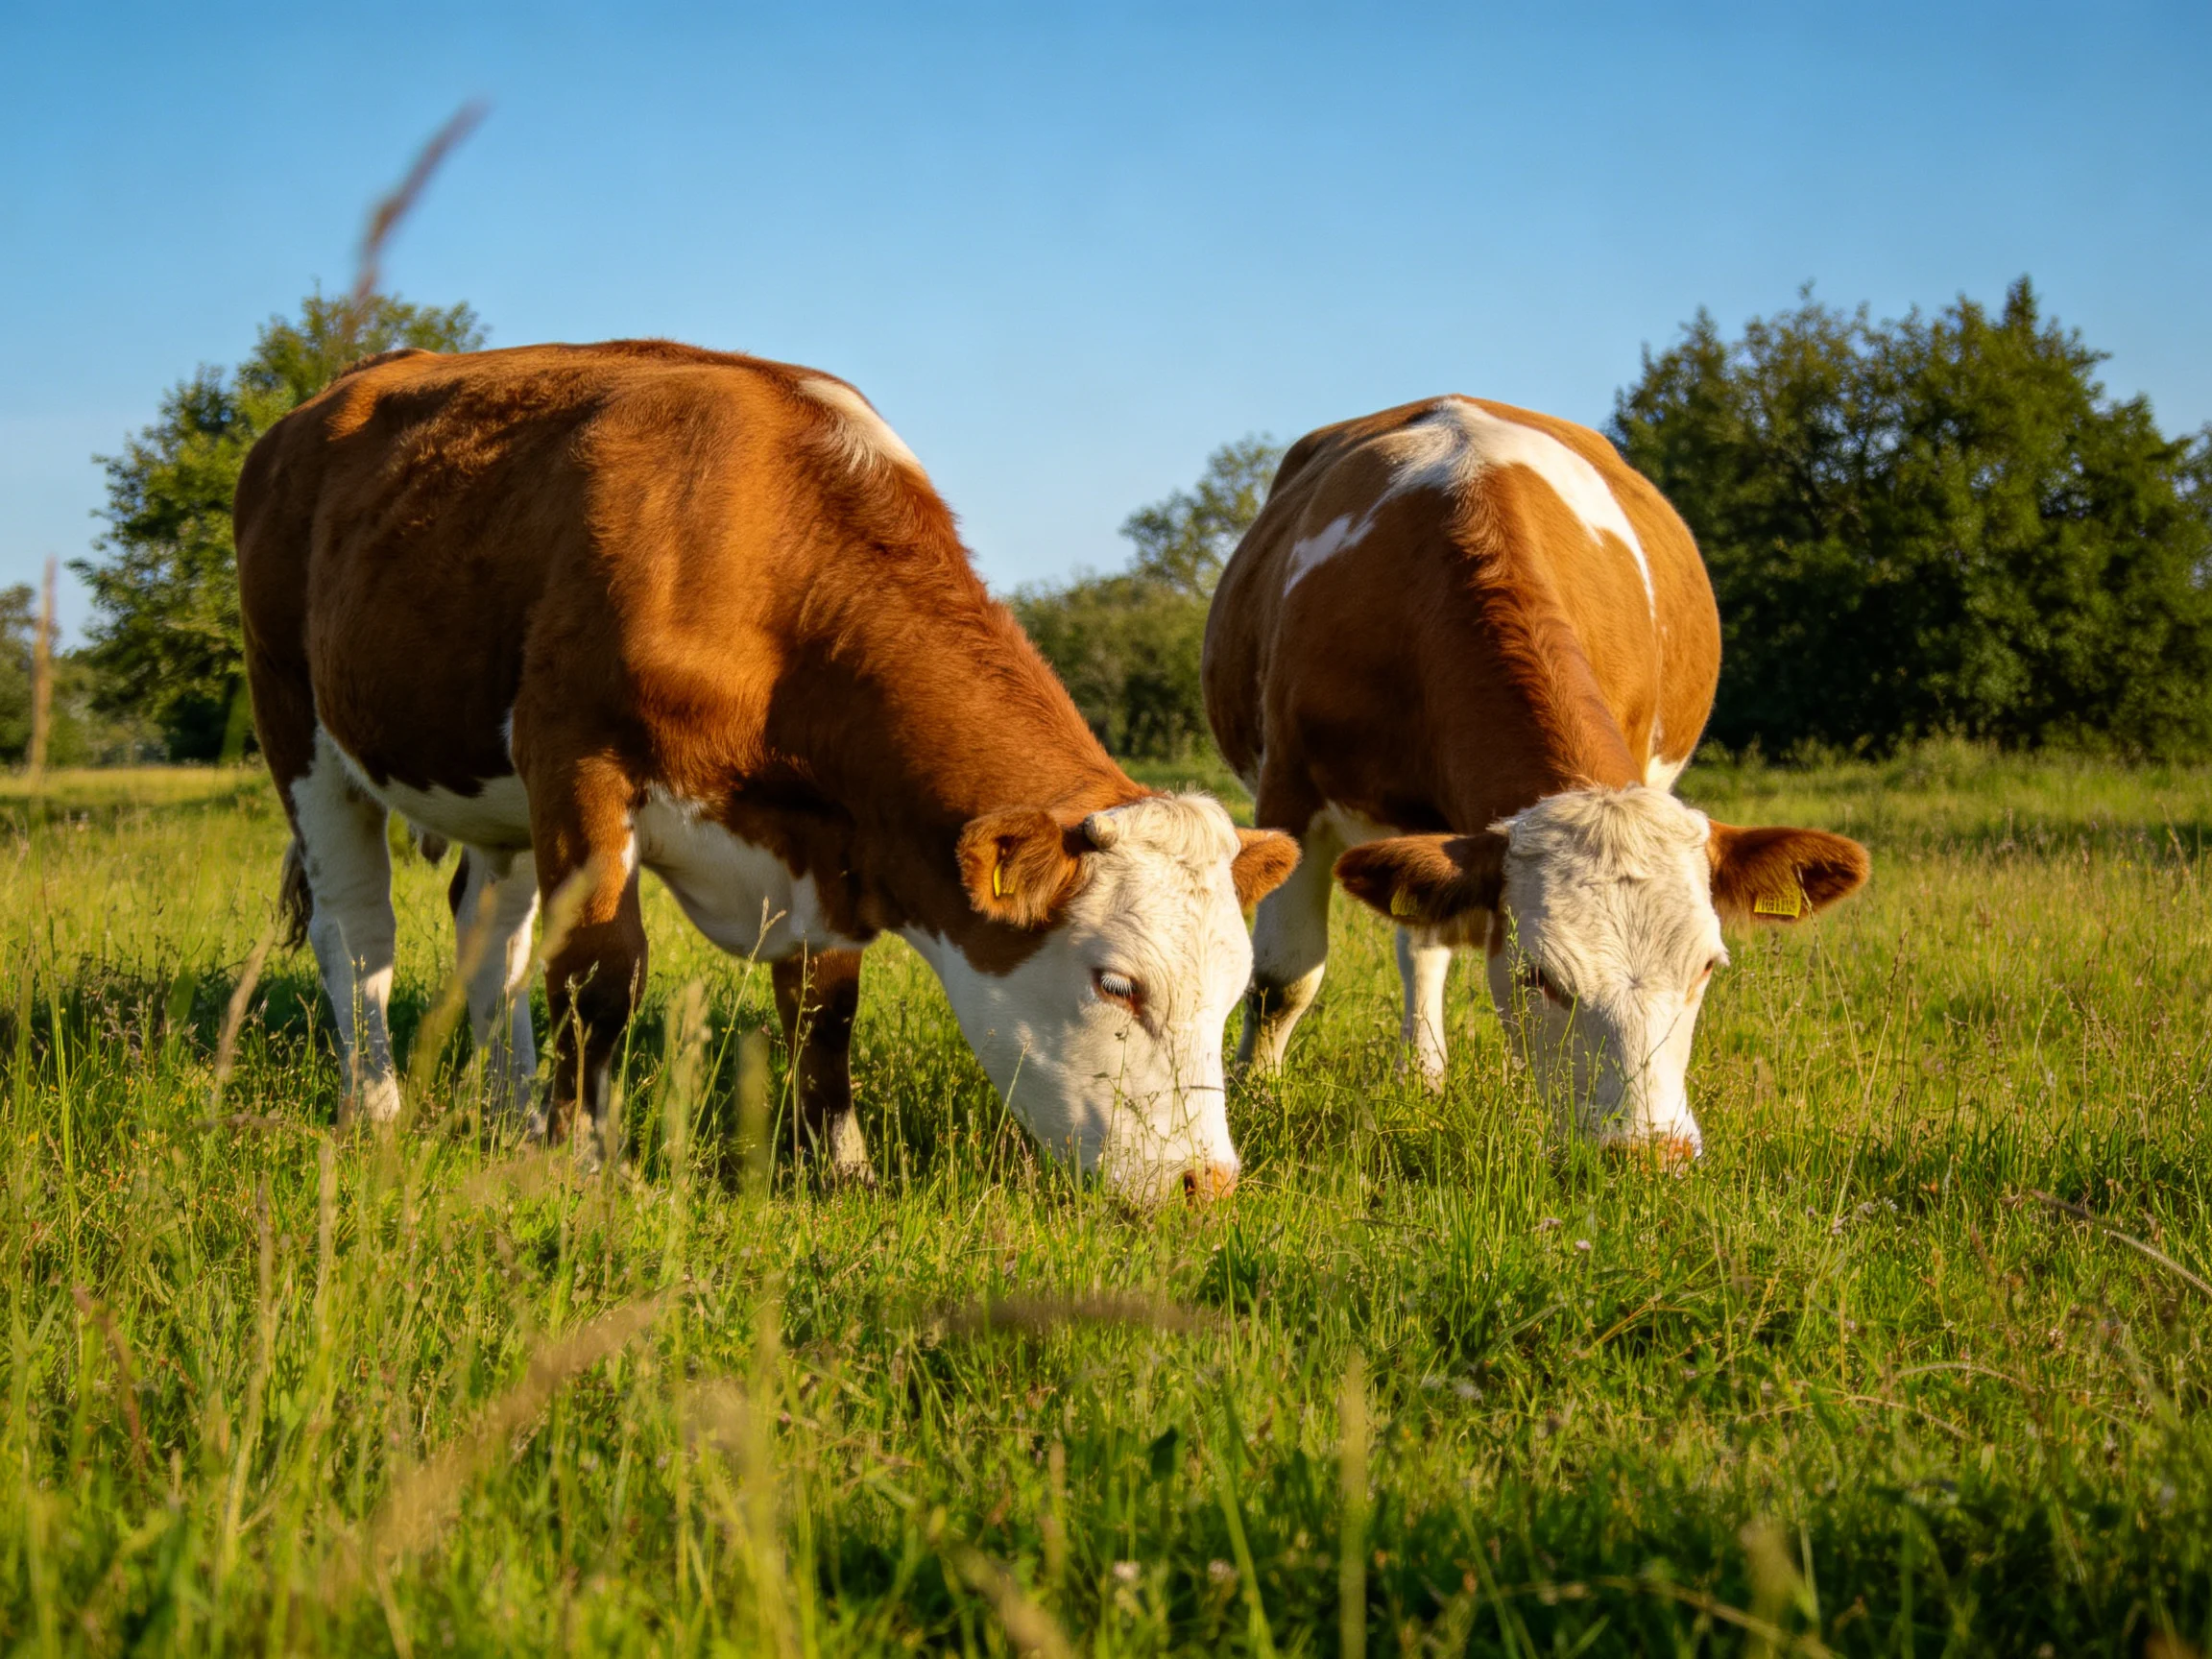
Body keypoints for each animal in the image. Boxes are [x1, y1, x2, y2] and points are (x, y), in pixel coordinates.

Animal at [235, 340, 1297, 1202]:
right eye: (1116, 985)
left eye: (1233, 989)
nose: (1206, 1184)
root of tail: (330, 397)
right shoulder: (576, 761)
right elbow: (600, 977)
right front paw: (586, 1164)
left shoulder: (828, 847)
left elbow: (825, 1012)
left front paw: (841, 1167)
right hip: (298, 721)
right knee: (357, 931)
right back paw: (376, 1107)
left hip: (493, 797)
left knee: (490, 937)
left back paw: (509, 1114)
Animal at [1202, 396, 1869, 1160]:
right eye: (1538, 976)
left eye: (1707, 967)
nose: (1649, 1154)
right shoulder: (1291, 787)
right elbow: (1282, 977)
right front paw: (1253, 1098)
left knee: (1422, 944)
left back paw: (1428, 1076)